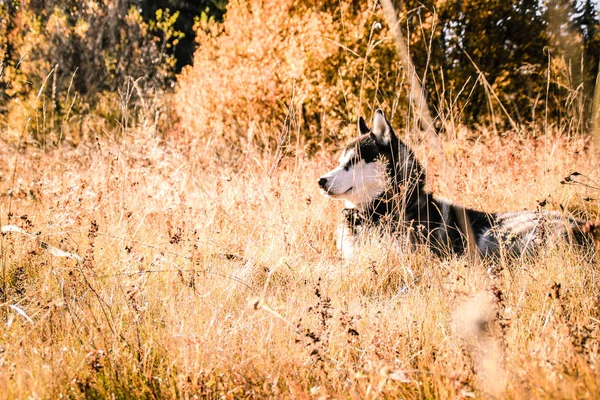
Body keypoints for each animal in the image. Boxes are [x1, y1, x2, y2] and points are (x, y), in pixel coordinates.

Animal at [316, 109, 596, 260]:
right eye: (340, 161)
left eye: (353, 162)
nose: (320, 181)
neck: (381, 208)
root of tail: (587, 226)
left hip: (494, 233)